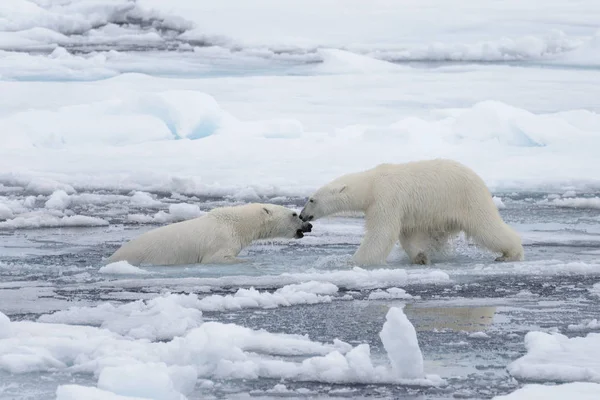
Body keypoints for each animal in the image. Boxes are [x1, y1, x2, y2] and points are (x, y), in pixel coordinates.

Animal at [300, 159, 524, 266]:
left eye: (311, 199)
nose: (302, 215)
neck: (371, 183)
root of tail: (479, 180)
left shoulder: (386, 197)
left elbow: (382, 232)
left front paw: (355, 261)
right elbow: (407, 233)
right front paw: (421, 257)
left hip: (467, 199)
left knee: (487, 227)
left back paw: (510, 254)